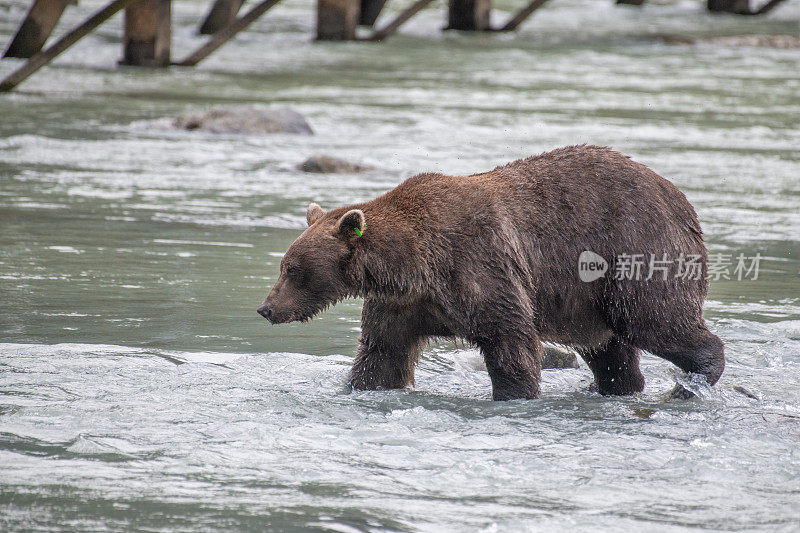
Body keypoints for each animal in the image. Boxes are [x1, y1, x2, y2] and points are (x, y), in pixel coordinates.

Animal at [258, 144, 724, 400]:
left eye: (293, 269)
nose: (266, 308)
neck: (412, 264)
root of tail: (681, 201)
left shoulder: (478, 265)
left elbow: (511, 342)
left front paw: (514, 394)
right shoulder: (403, 305)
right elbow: (382, 355)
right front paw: (362, 385)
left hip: (634, 249)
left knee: (656, 319)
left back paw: (694, 379)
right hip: (588, 301)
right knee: (611, 351)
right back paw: (618, 385)